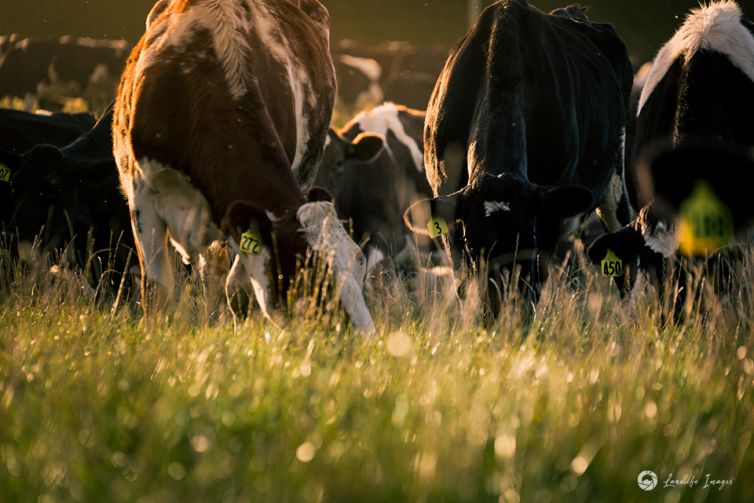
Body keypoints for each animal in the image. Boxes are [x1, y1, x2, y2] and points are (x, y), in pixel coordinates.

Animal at [112, 0, 374, 332]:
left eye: (360, 268)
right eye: (307, 274)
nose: (366, 337)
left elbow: (239, 289)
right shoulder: (142, 195)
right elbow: (157, 291)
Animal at [402, 0, 632, 316]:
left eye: (526, 240)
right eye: (472, 244)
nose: (496, 307)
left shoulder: (547, 214)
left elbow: (533, 287)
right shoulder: (448, 198)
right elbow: (462, 282)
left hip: (614, 181)